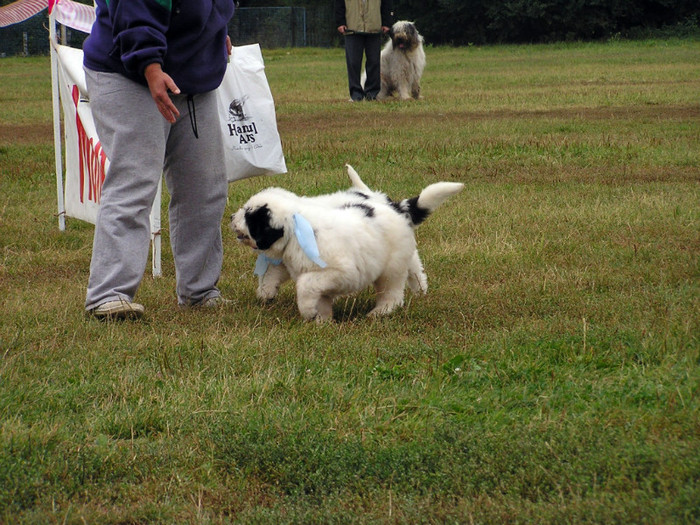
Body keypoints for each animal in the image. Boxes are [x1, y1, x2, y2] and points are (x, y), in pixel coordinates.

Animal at [230, 166, 462, 322]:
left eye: (249, 216)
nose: (232, 217)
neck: (297, 226)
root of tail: (394, 206)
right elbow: (291, 281)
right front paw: (321, 320)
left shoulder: (340, 270)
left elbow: (305, 284)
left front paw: (307, 311)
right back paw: (419, 290)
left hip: (391, 266)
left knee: (393, 291)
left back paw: (381, 311)